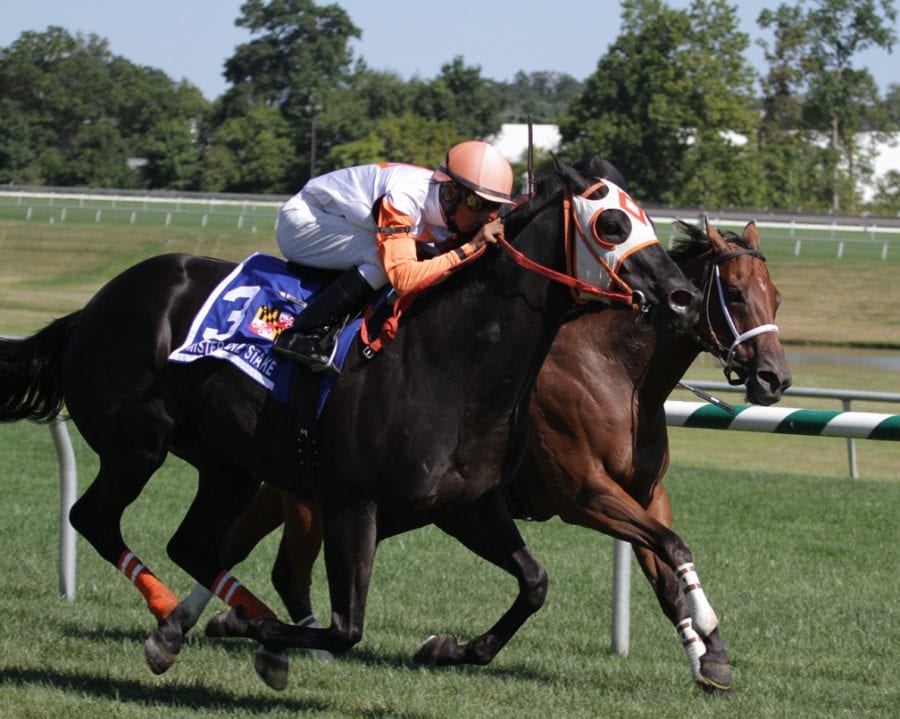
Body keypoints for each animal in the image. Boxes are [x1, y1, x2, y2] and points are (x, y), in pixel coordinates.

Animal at [0, 163, 704, 680]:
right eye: (612, 222)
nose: (683, 298)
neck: (453, 356)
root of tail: (94, 305)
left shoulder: (467, 505)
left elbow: (534, 583)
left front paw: (451, 648)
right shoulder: (352, 504)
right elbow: (346, 630)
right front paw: (262, 636)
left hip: (226, 464)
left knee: (193, 545)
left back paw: (191, 627)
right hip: (137, 445)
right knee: (95, 518)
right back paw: (179, 613)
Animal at [185, 217, 788, 696]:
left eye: (776, 297)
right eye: (735, 295)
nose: (774, 378)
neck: (617, 372)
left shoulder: (644, 493)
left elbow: (666, 571)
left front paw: (710, 657)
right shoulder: (586, 497)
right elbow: (670, 546)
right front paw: (709, 642)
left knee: (238, 549)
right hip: (312, 500)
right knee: (271, 562)